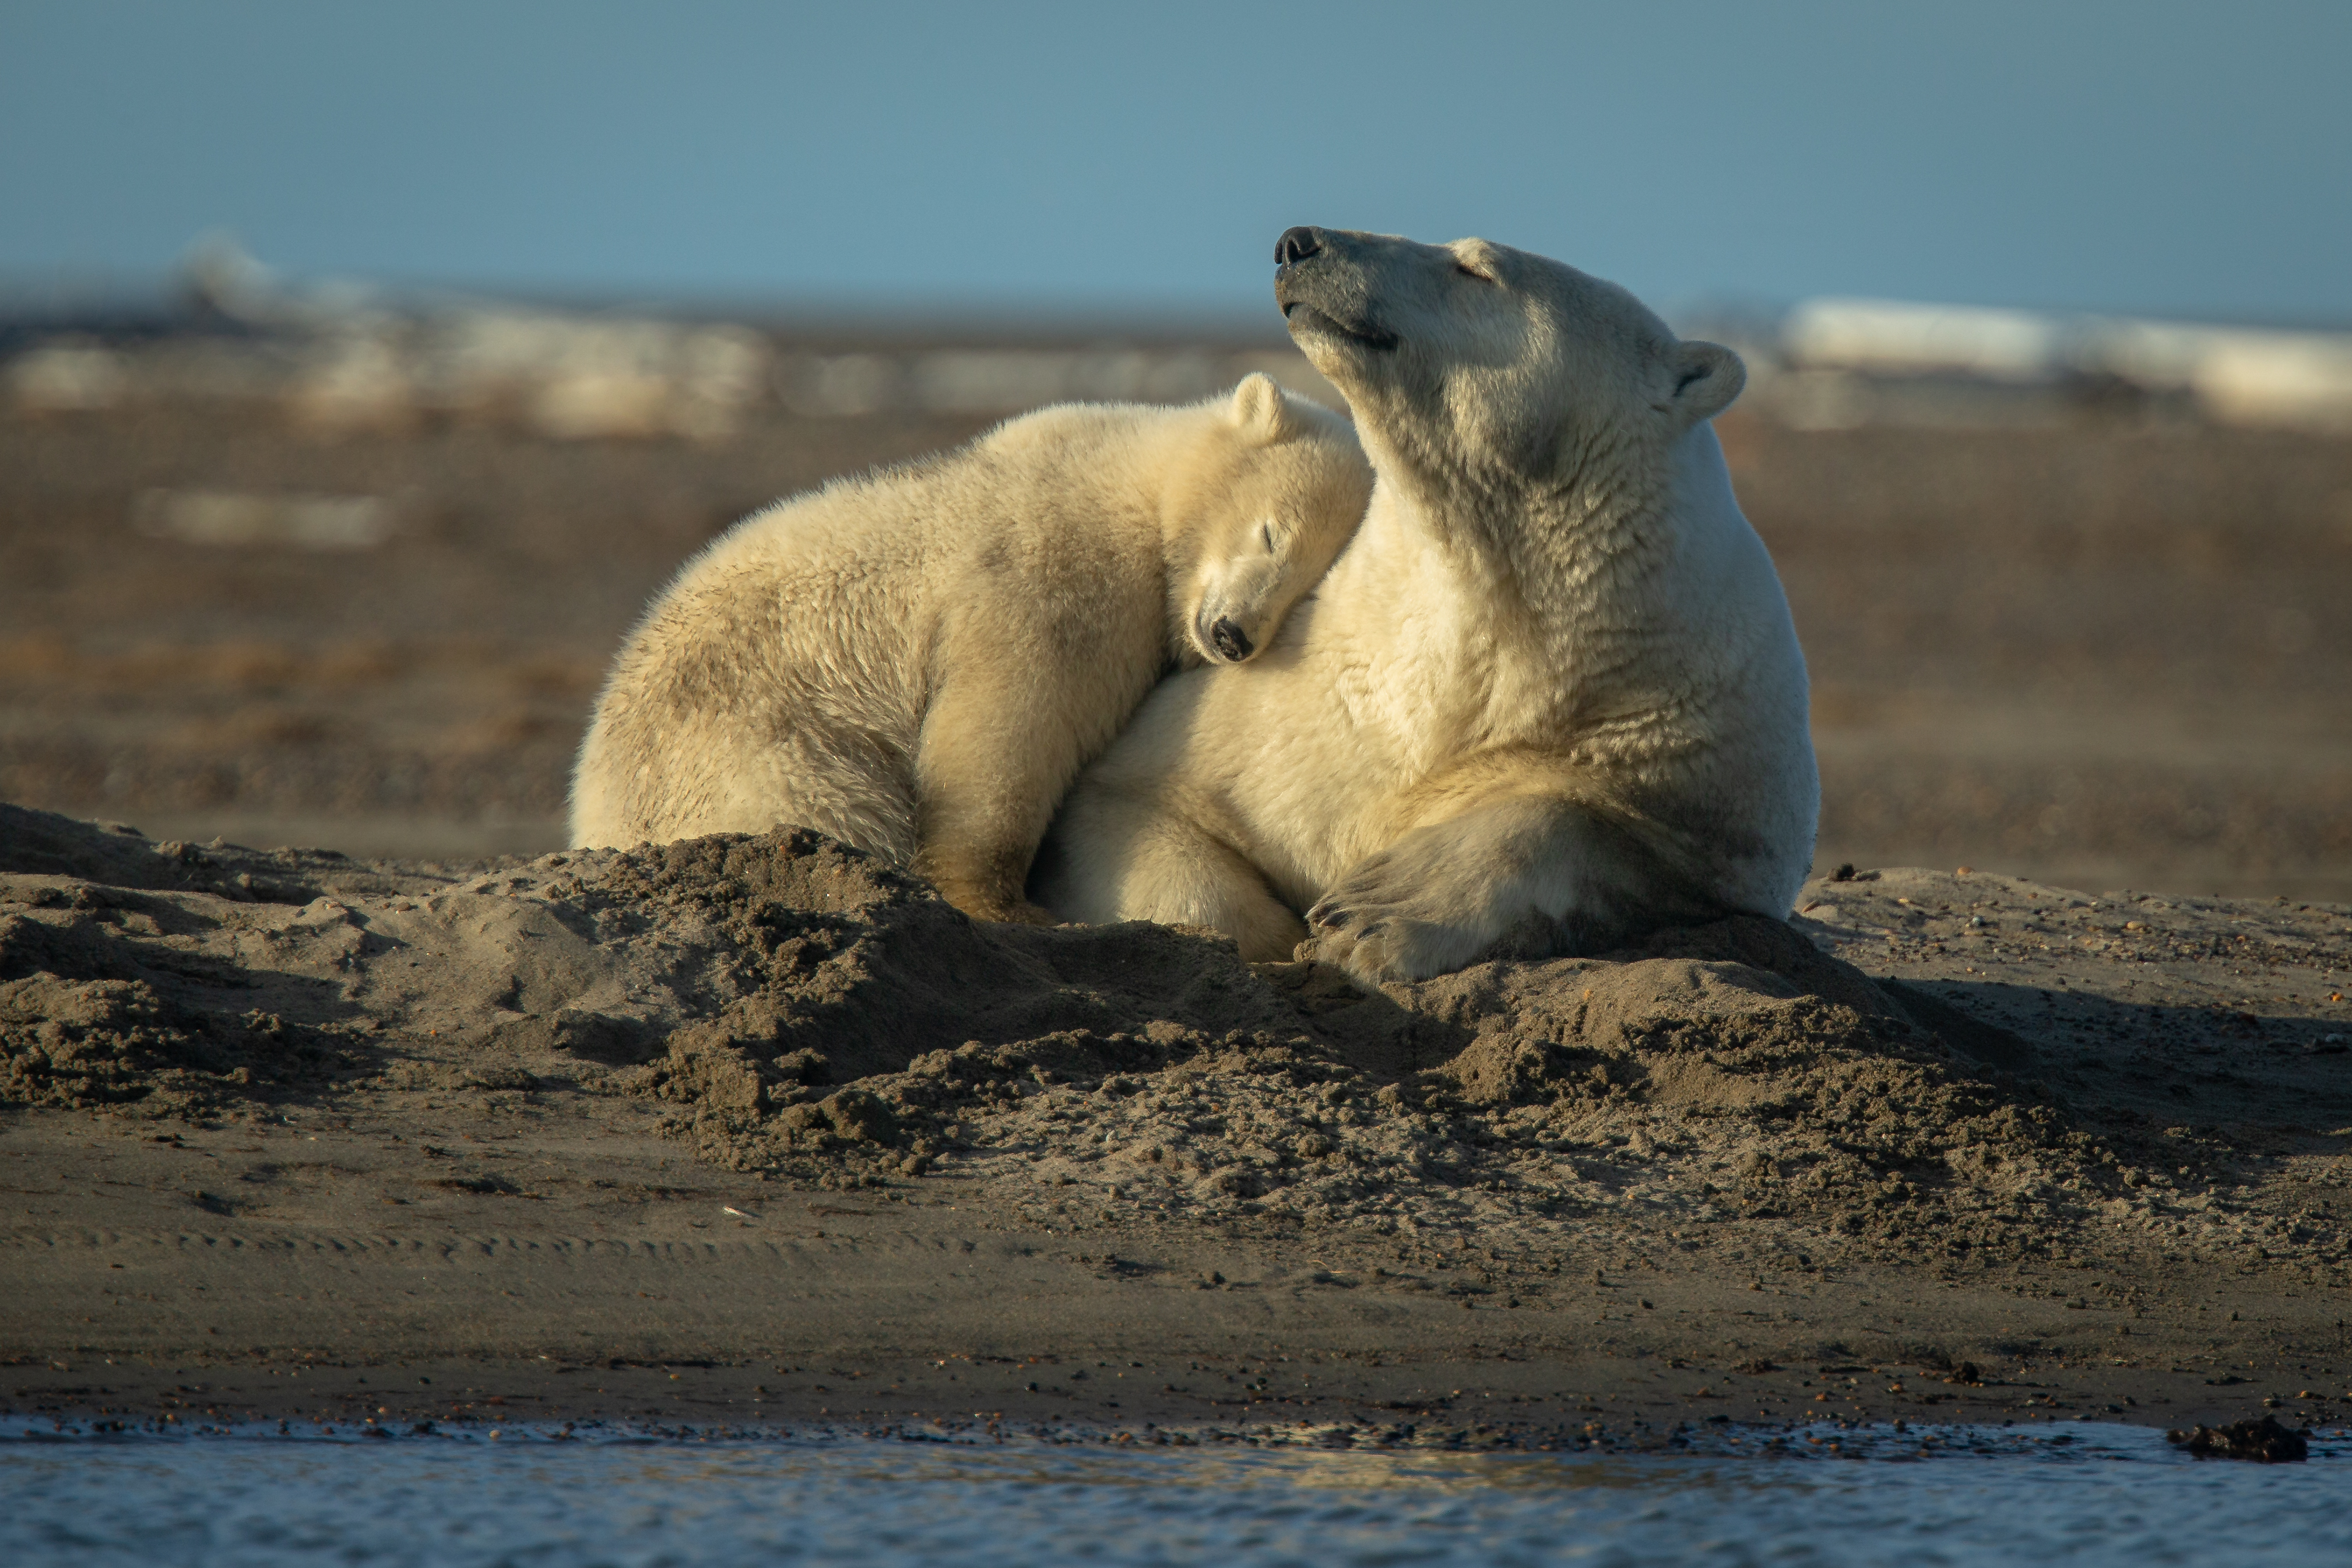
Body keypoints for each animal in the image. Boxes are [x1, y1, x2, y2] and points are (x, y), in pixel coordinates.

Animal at [569, 374, 1373, 925]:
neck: (1135, 483)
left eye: (1307, 591)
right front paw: (1005, 905)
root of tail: (593, 809)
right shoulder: (1050, 572)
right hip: (755, 746)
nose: (1233, 635)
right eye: (1272, 533)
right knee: (828, 803)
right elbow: (1008, 728)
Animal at [1031, 227, 1818, 980]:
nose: (1298, 242)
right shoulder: (1286, 720)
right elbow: (1141, 806)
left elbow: (1591, 829)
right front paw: (1294, 932)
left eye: (1476, 267)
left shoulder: (1703, 750)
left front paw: (1375, 911)